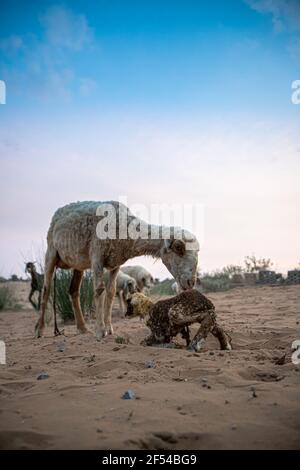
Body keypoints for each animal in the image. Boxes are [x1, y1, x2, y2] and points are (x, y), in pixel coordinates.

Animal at [35, 200, 199, 340]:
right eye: (178, 248)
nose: (191, 282)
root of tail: (59, 212)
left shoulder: (115, 264)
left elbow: (111, 292)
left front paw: (109, 328)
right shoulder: (97, 255)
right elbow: (99, 290)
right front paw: (100, 330)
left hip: (78, 263)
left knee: (73, 291)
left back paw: (82, 328)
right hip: (51, 251)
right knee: (46, 289)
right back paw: (39, 329)